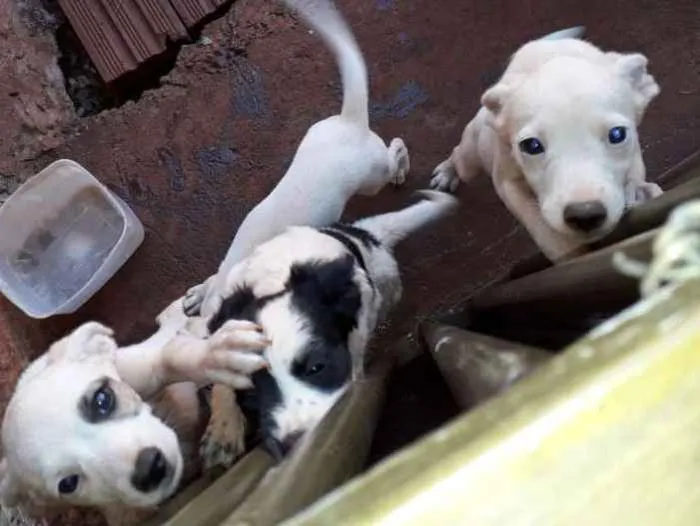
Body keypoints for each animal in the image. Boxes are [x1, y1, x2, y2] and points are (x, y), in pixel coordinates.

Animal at [0, 300, 266, 516]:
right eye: (68, 484)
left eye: (102, 400)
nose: (150, 468)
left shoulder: (141, 368)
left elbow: (171, 356)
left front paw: (217, 355)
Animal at [206, 192, 460, 460]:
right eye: (251, 392)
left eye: (317, 367)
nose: (295, 448)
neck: (274, 283)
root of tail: (363, 232)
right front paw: (224, 428)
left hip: (389, 285)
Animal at [430, 26, 664, 262]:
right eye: (531, 146)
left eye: (617, 134)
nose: (585, 215)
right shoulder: (506, 180)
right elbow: (539, 225)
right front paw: (567, 251)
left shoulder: (634, 155)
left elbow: (635, 176)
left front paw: (641, 193)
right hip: (471, 158)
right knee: (458, 155)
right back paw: (447, 172)